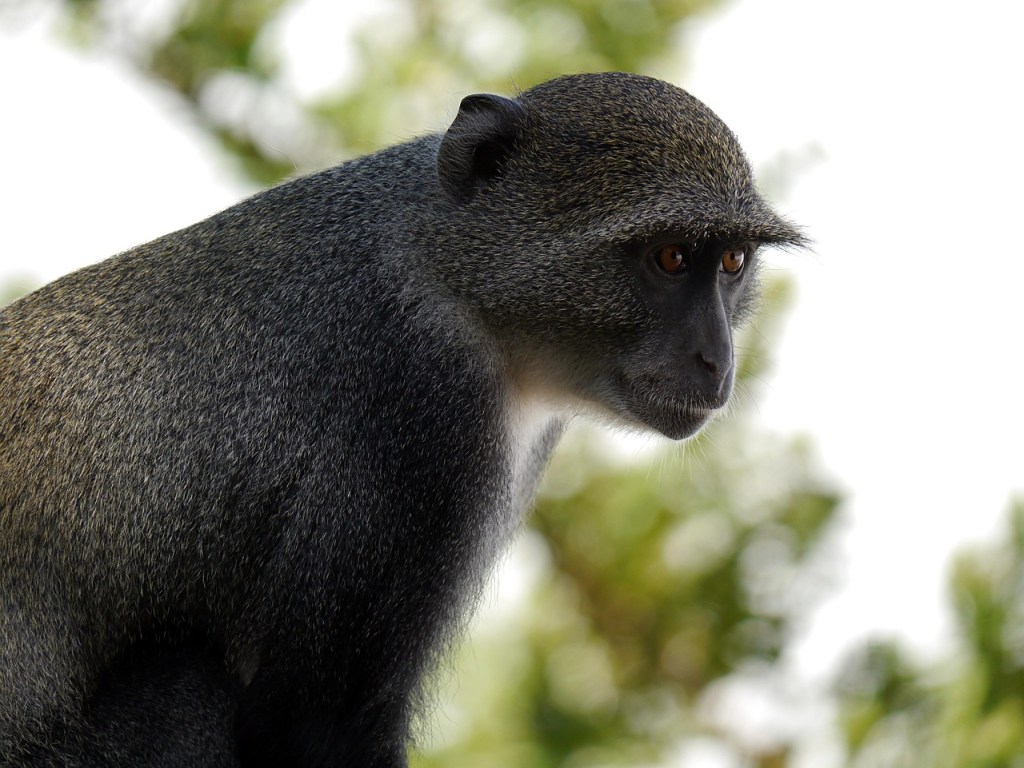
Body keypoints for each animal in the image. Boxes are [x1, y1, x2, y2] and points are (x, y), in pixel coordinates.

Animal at [0, 72, 802, 766]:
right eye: (670, 258)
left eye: (731, 261)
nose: (716, 358)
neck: (446, 267)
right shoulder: (420, 407)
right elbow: (312, 725)